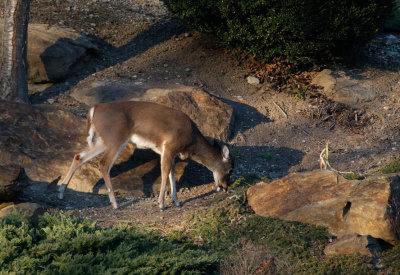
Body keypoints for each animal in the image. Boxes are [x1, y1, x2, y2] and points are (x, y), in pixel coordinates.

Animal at [58, 100, 234, 210]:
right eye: (230, 169)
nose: (225, 187)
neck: (192, 142)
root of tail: (94, 109)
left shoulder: (170, 152)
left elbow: (171, 174)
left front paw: (176, 201)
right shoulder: (169, 146)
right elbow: (165, 173)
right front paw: (161, 204)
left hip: (101, 140)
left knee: (78, 156)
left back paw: (61, 192)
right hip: (115, 139)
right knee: (104, 164)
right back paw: (115, 203)